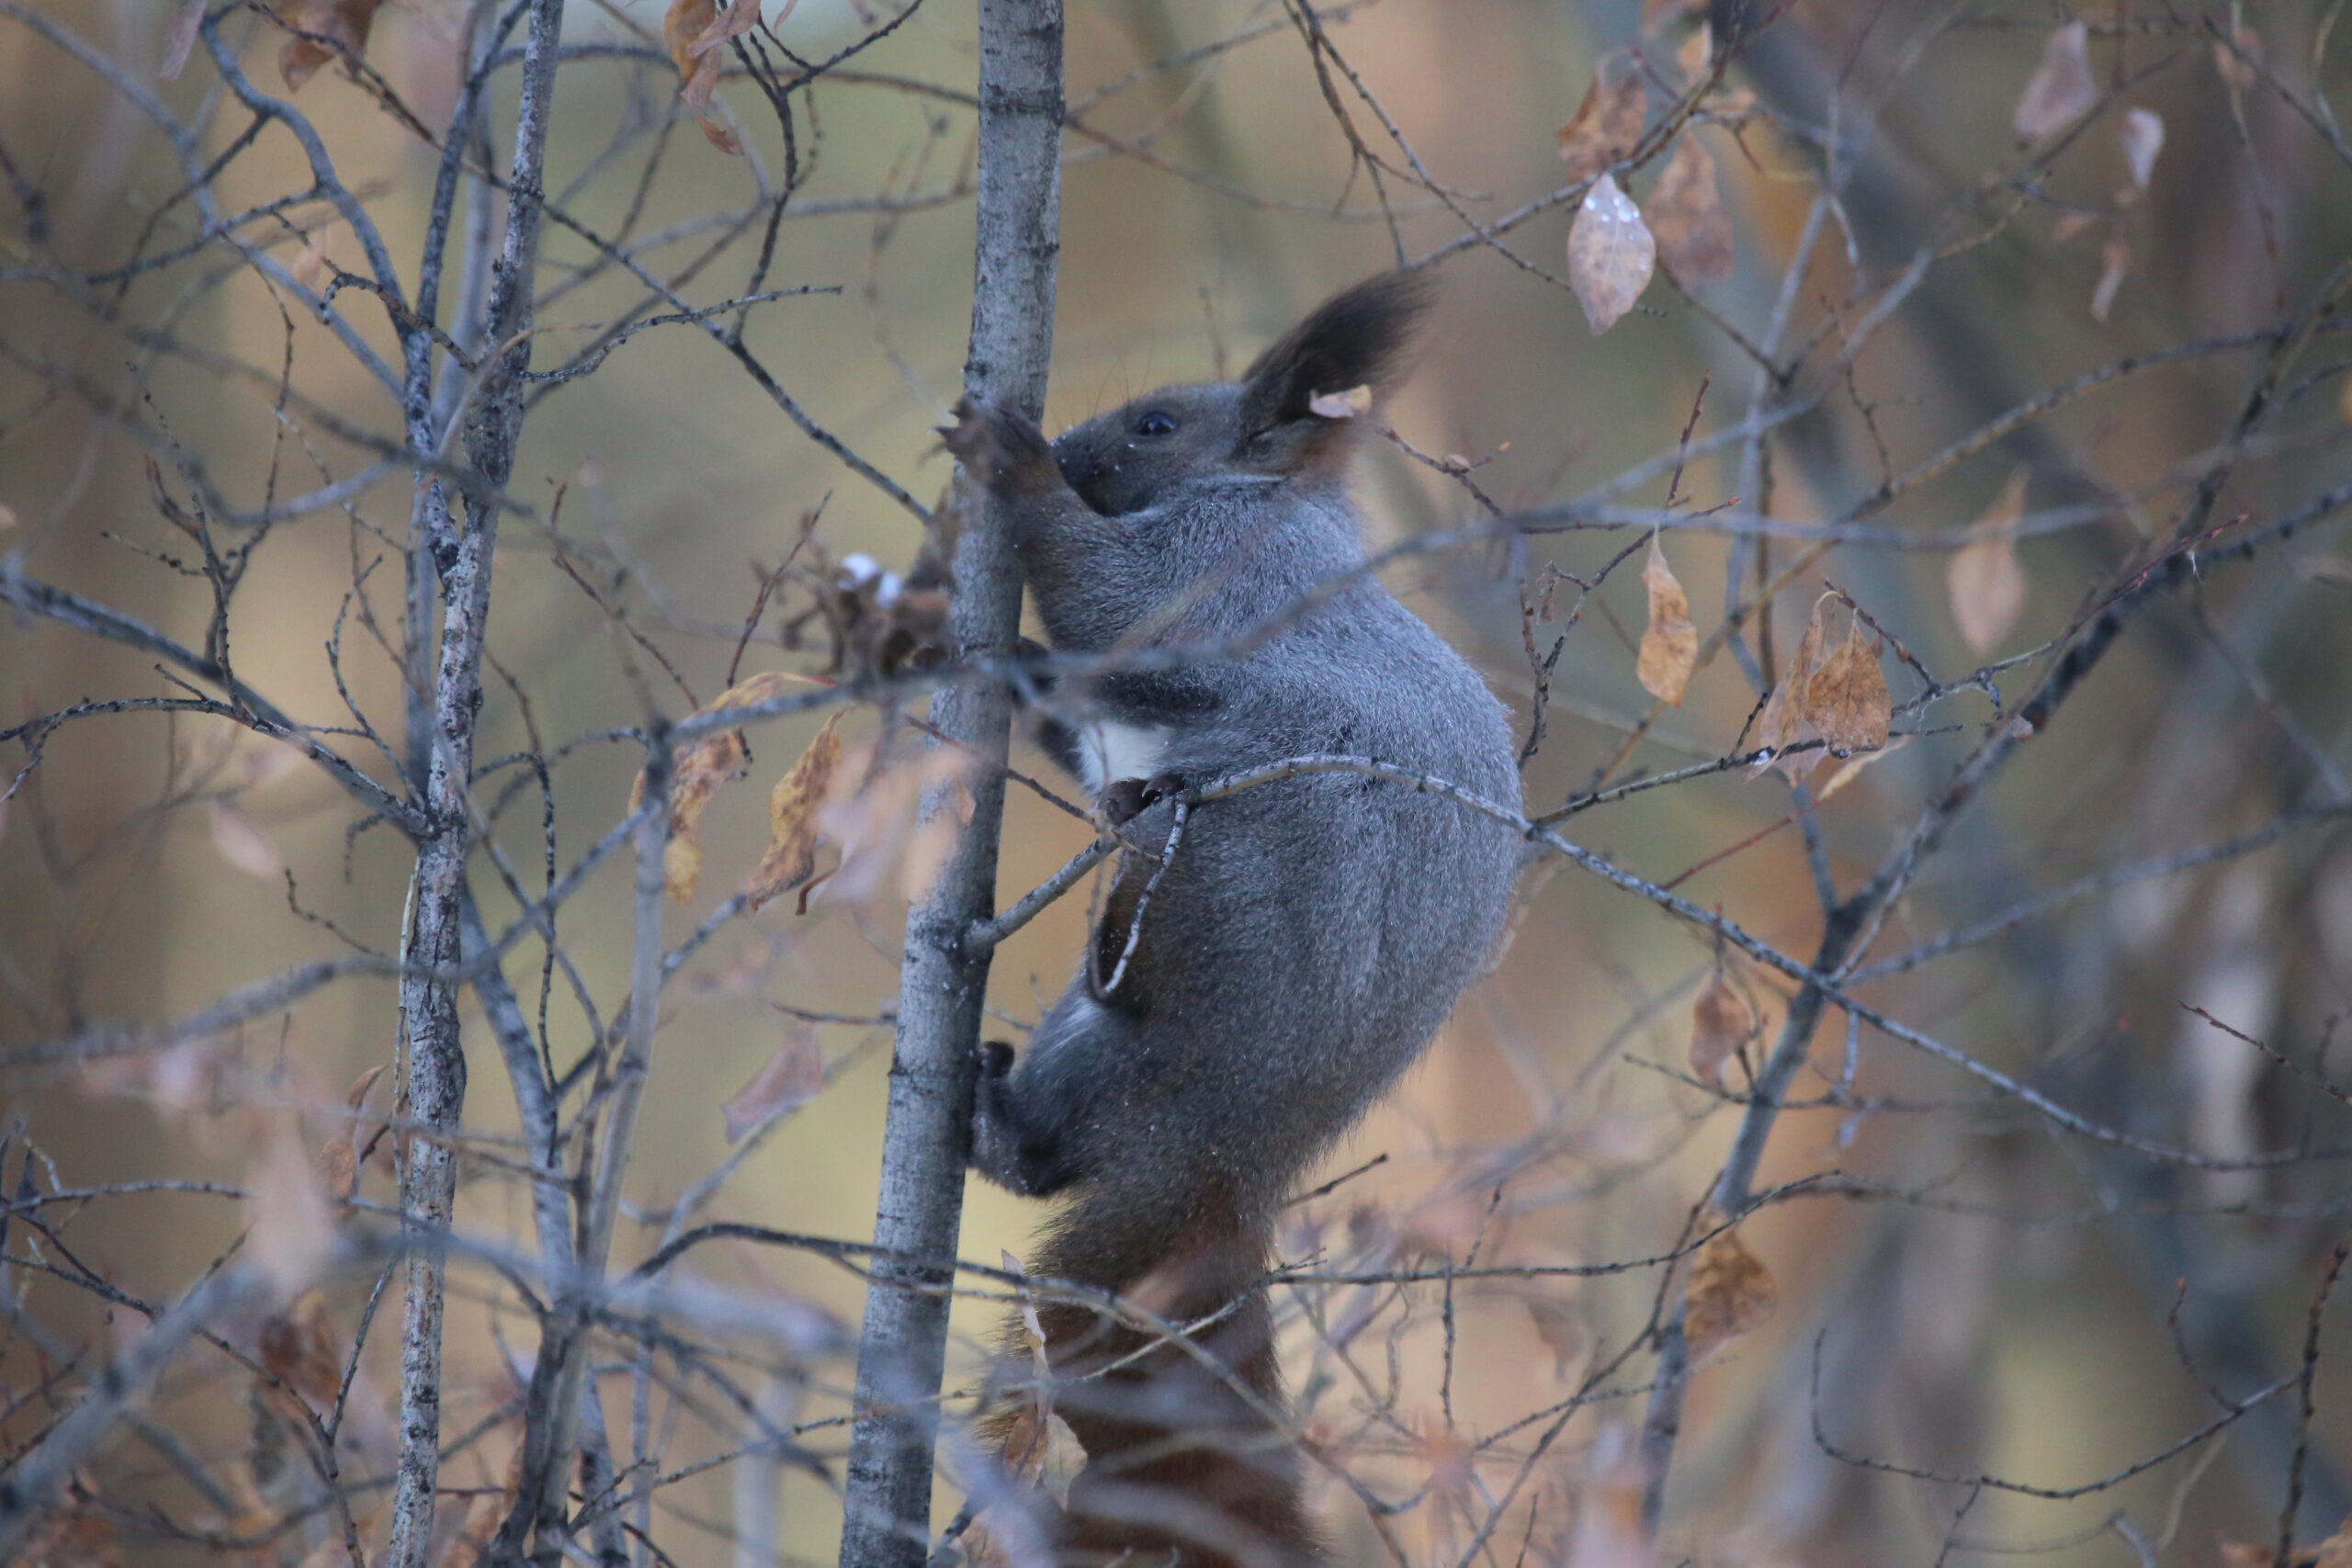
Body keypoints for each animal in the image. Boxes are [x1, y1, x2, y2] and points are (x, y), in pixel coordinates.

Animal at [941, 276, 1523, 1561]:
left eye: (1156, 424)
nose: (1069, 447)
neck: (1264, 497)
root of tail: (1235, 1139)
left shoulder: (1216, 575)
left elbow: (1106, 598)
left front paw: (1016, 472)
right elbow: (1075, 701)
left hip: (1219, 879)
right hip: (1090, 1043)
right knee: (1055, 1149)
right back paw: (999, 1119)